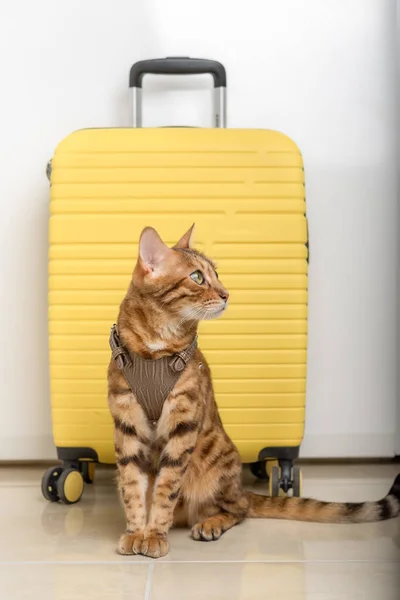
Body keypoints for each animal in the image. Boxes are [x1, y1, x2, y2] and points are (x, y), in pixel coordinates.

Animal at [107, 224, 400, 556]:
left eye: (216, 274)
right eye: (197, 277)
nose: (226, 293)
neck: (155, 351)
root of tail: (241, 487)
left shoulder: (183, 426)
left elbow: (166, 487)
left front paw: (155, 534)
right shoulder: (127, 426)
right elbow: (133, 487)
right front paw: (136, 531)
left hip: (215, 456)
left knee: (239, 508)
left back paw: (211, 524)